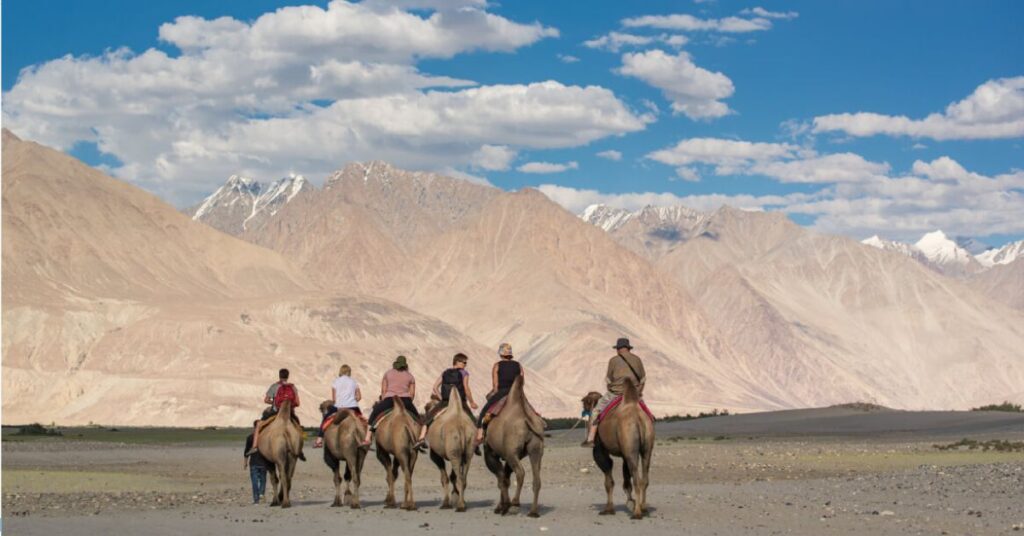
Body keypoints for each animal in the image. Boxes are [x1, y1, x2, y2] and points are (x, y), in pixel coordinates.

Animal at [479, 375, 544, 518]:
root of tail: (527, 420)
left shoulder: (491, 453)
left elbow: (501, 479)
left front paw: (502, 507)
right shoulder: (509, 455)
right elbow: (506, 478)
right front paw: (502, 506)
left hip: (511, 452)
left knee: (520, 472)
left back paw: (515, 502)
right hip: (535, 448)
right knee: (537, 478)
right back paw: (533, 512)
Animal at [581, 377, 651, 520]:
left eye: (585, 402)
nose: (583, 411)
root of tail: (638, 419)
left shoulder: (600, 450)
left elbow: (609, 481)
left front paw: (608, 509)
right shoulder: (624, 453)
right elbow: (625, 480)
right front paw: (630, 502)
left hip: (631, 448)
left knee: (636, 478)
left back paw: (637, 513)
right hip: (646, 445)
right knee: (644, 477)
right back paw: (643, 508)